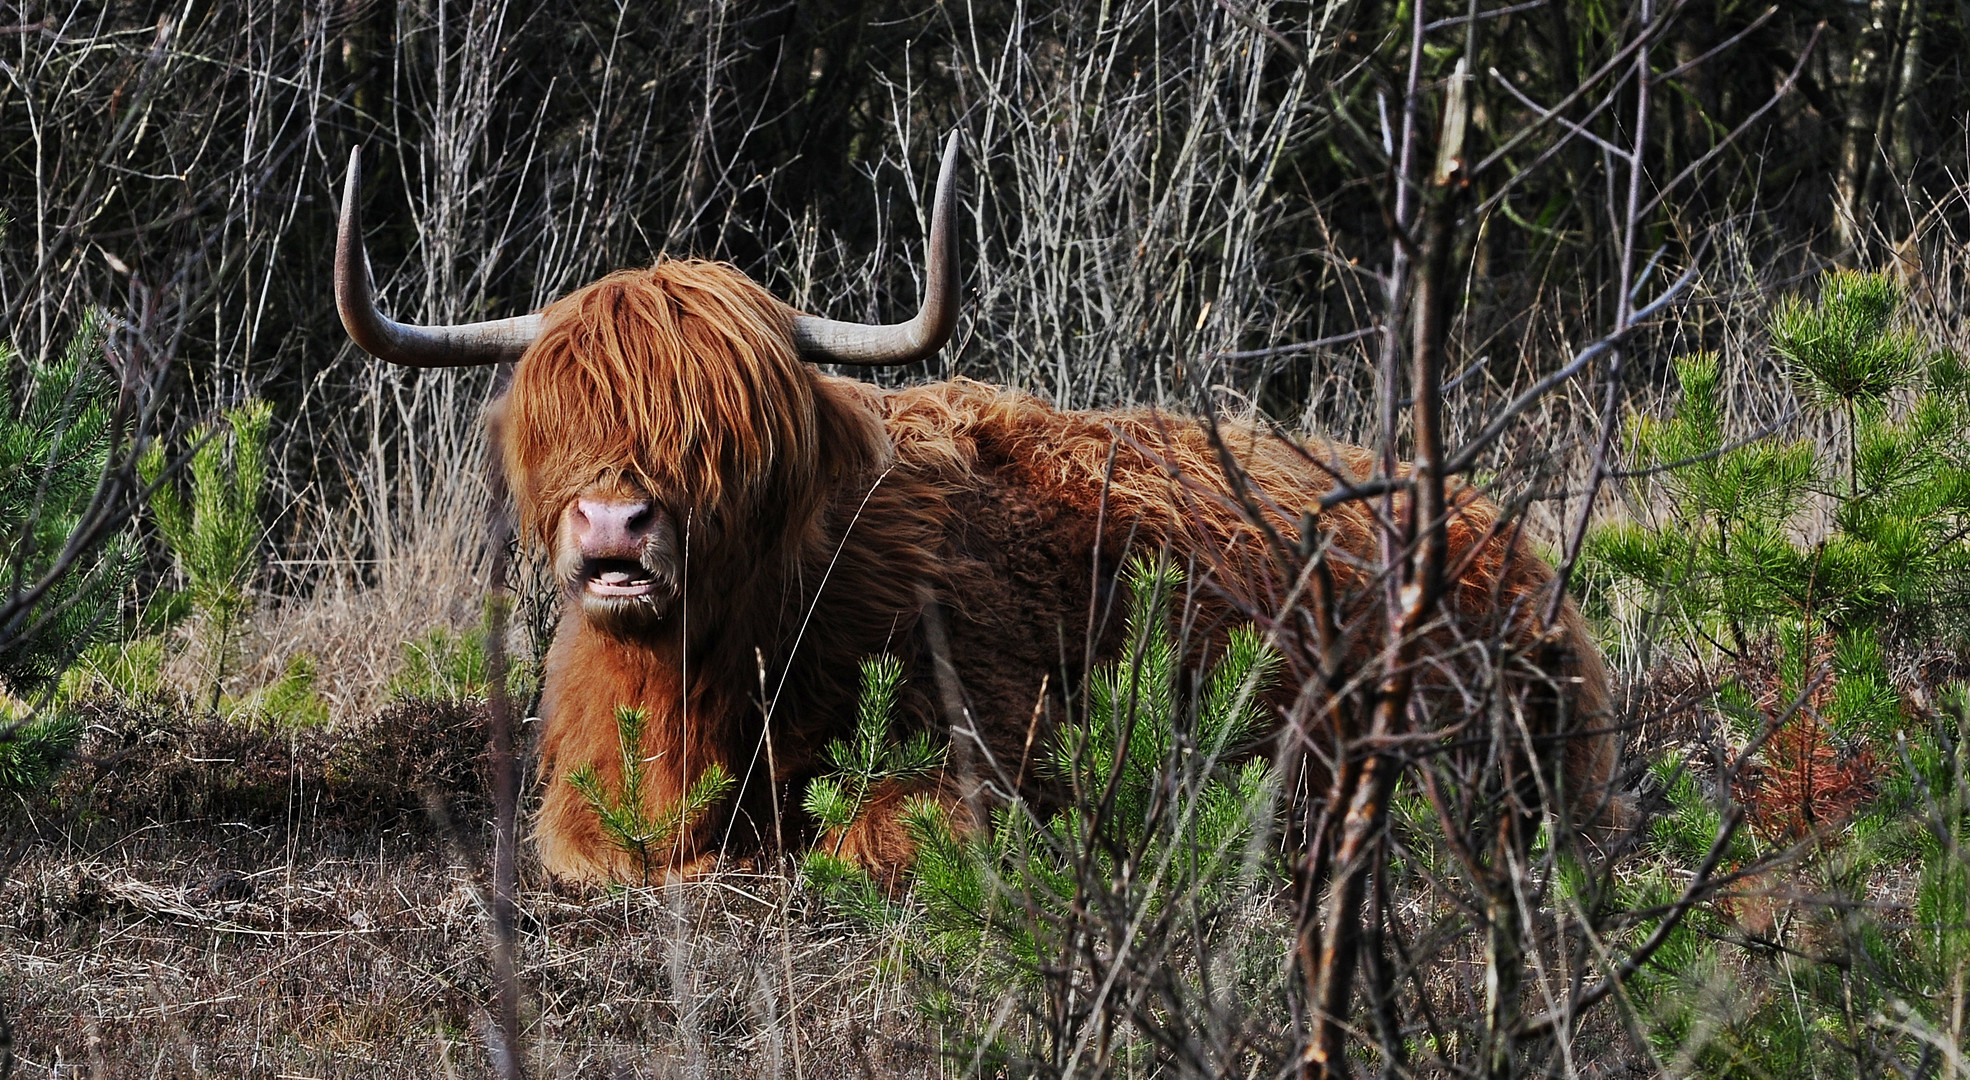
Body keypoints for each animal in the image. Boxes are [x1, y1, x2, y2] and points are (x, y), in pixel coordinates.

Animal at [338, 135, 1615, 882]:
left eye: (727, 436)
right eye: (556, 424)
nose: (612, 527)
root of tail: (1509, 545)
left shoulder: (999, 764)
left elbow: (867, 837)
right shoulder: (584, 801)